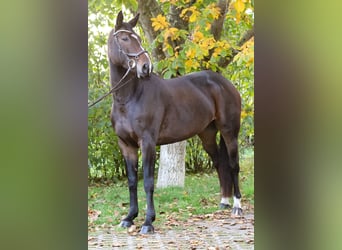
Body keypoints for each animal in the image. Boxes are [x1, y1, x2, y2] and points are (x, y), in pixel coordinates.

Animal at [108, 11, 242, 234]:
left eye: (138, 38)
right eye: (125, 38)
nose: (145, 67)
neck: (129, 98)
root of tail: (225, 84)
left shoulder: (148, 142)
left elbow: (148, 182)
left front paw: (148, 222)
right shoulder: (125, 145)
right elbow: (132, 181)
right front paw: (129, 217)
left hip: (230, 132)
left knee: (233, 165)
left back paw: (237, 207)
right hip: (207, 135)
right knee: (219, 164)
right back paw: (224, 202)